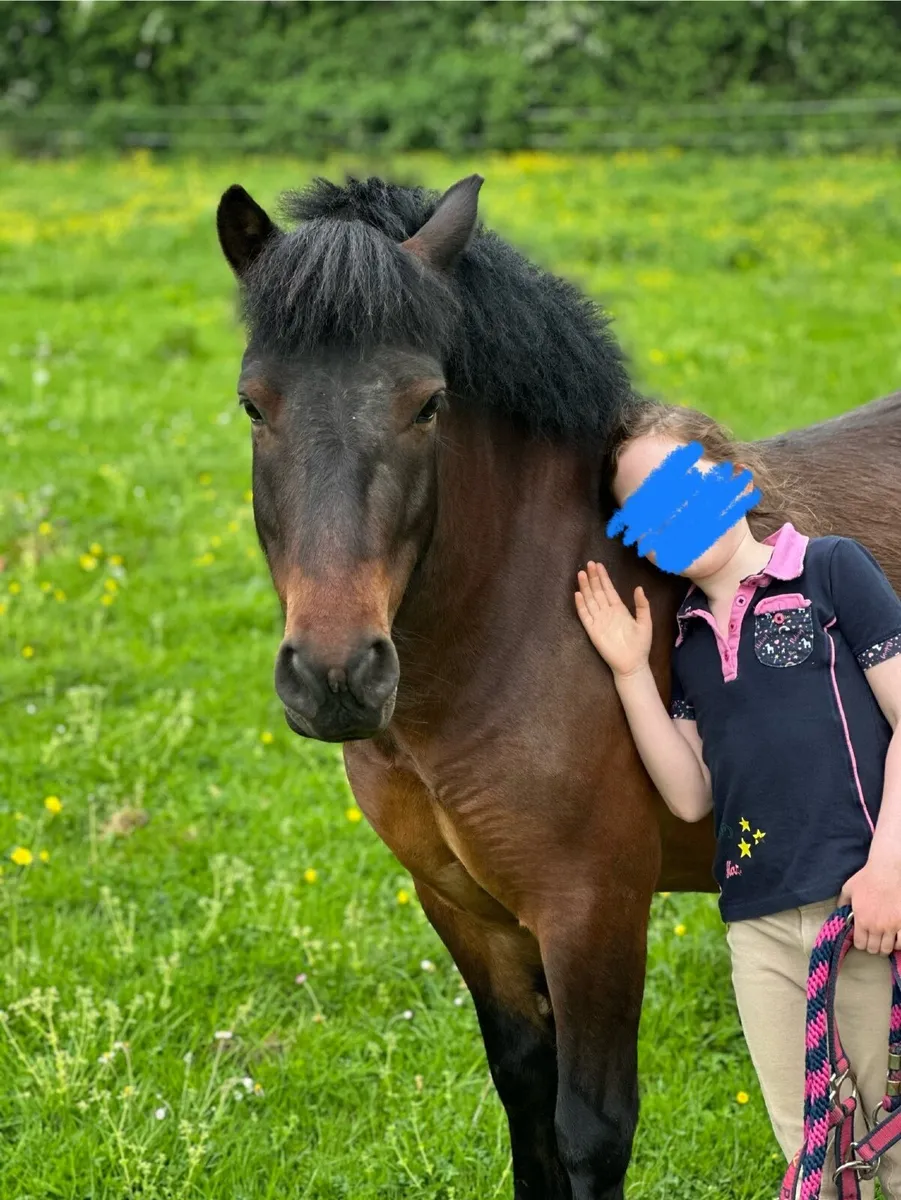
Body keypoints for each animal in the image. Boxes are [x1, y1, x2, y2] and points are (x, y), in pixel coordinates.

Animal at [215, 173, 901, 1199]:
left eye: (427, 404)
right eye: (254, 405)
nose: (335, 675)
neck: (506, 631)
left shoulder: (591, 910)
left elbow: (589, 1129)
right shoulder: (467, 911)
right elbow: (524, 1101)